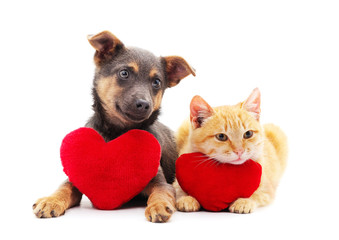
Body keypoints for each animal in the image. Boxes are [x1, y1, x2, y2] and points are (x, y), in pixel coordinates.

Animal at [33, 30, 197, 223]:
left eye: (157, 82)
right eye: (124, 73)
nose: (144, 104)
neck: (118, 132)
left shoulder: (161, 182)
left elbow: (160, 193)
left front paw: (158, 206)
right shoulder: (76, 177)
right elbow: (63, 187)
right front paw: (50, 201)